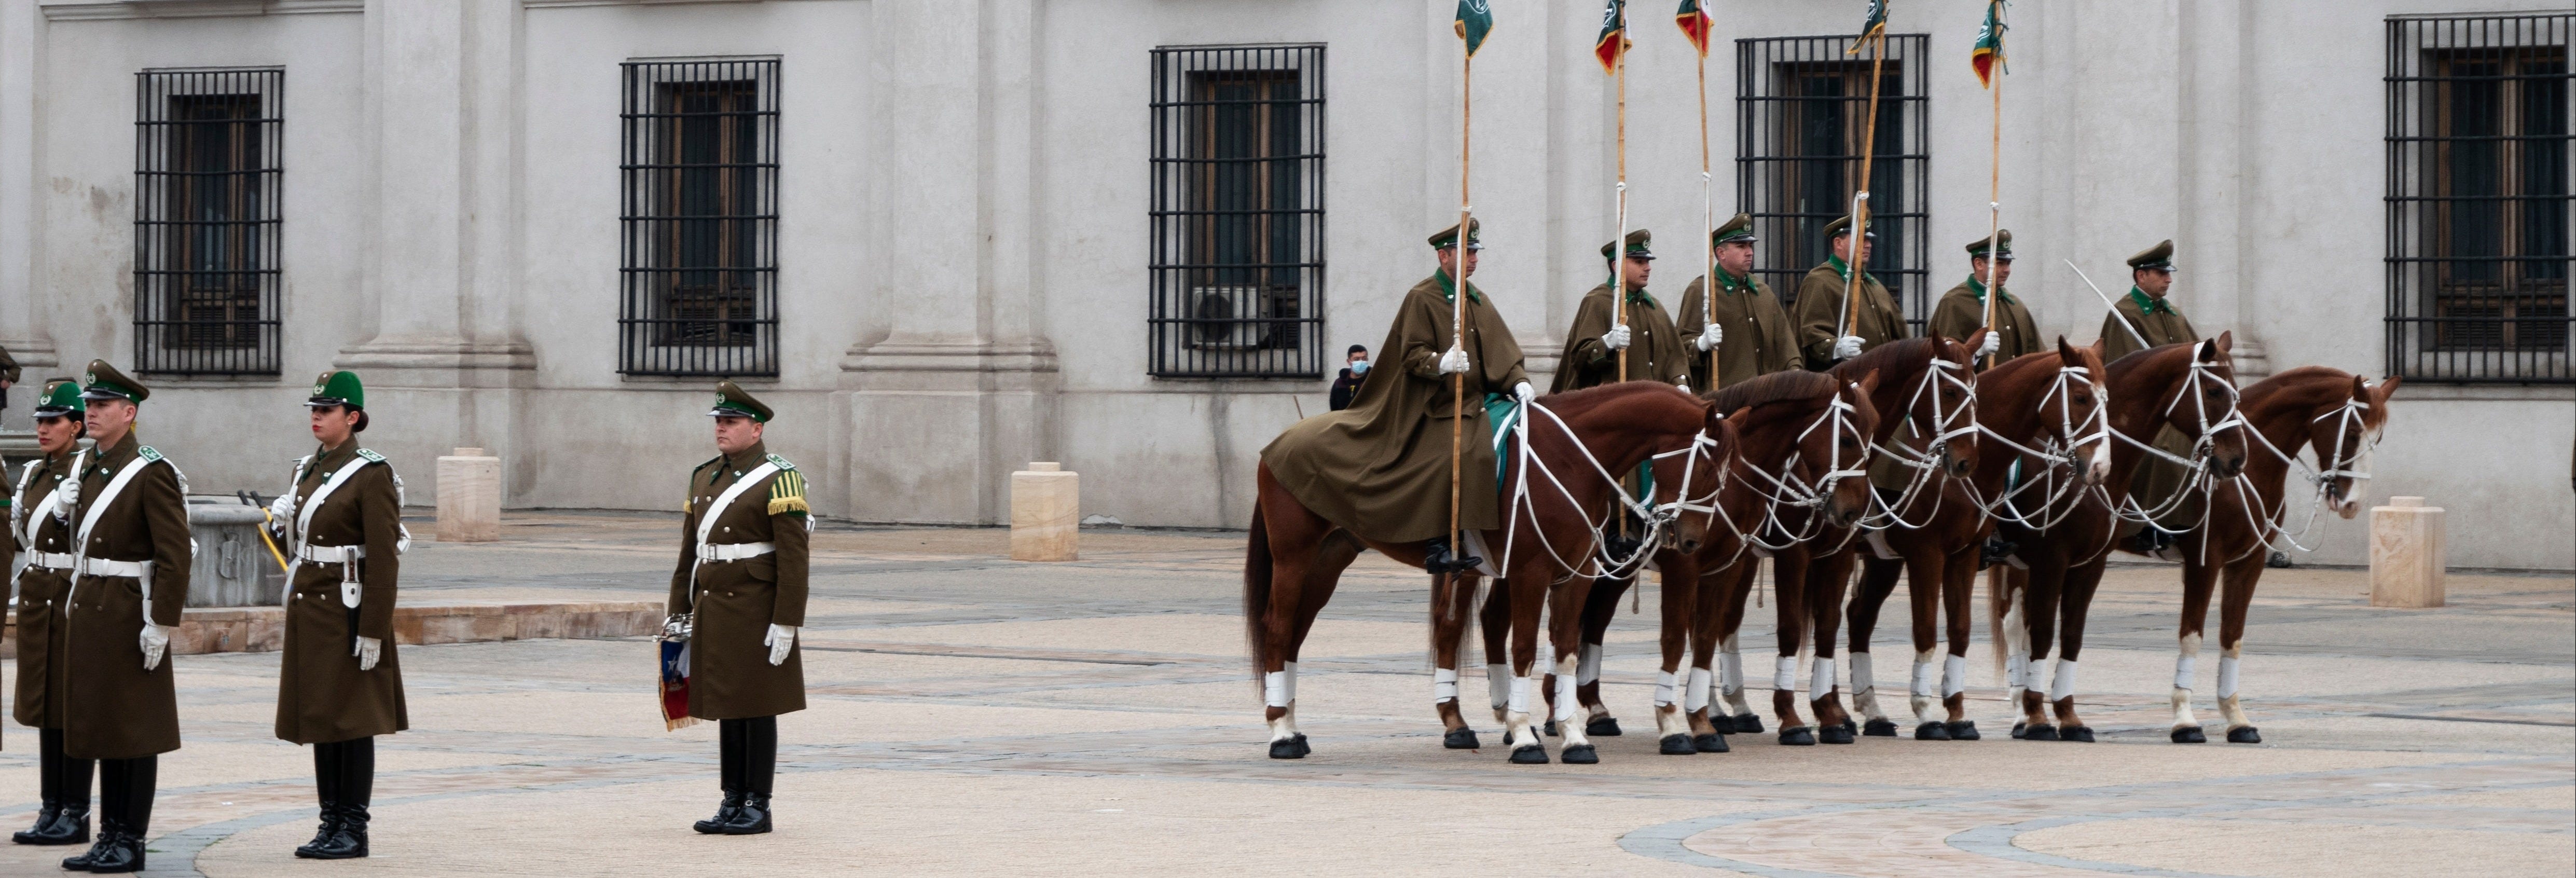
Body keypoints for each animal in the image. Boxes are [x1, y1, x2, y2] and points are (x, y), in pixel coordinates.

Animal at [1236, 381, 1720, 757]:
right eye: (1707, 469)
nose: (1692, 541)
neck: (1570, 459)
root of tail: (1277, 443)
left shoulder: (1575, 575)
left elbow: (1566, 650)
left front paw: (1572, 736)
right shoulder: (1530, 574)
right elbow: (1523, 649)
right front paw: (1524, 735)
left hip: (1328, 560)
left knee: (1295, 634)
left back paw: (1293, 724)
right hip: (1294, 557)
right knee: (1277, 628)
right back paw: (1281, 733)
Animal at [1844, 335, 2102, 736]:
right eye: (2079, 397)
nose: (2099, 466)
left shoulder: (1964, 554)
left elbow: (1961, 629)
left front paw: (1957, 715)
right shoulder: (1927, 555)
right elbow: (1926, 630)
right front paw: (1927, 715)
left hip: (1882, 559)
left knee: (1859, 616)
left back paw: (1872, 712)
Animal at [1988, 332, 2236, 736]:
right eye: (2214, 391)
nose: (2237, 460)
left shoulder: (2091, 564)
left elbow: (2072, 635)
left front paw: (2068, 716)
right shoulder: (2050, 561)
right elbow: (2043, 632)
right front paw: (2039, 716)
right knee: (2014, 625)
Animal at [2153, 365, 2390, 742]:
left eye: (2377, 439)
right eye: (2353, 433)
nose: (2352, 504)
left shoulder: (2248, 562)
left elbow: (2232, 637)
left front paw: (2236, 718)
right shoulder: (2204, 561)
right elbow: (2192, 637)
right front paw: (2184, 719)